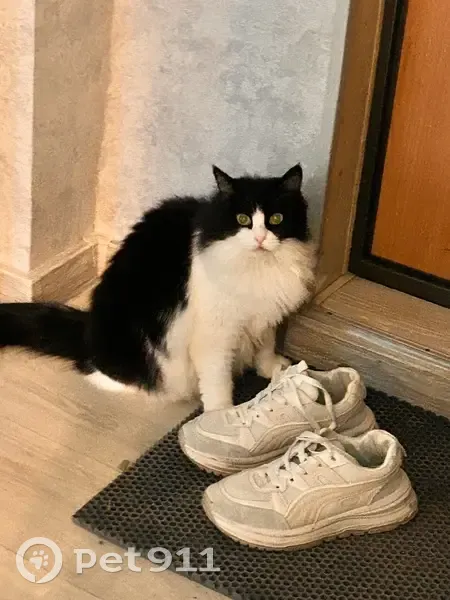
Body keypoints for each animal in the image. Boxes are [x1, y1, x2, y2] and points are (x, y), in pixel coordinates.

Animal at [0, 164, 316, 411]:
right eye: (243, 220)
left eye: (276, 219)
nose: (261, 239)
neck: (258, 268)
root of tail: (88, 329)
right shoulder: (215, 335)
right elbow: (218, 381)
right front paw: (220, 415)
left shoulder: (265, 315)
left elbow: (266, 347)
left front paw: (274, 369)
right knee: (94, 370)